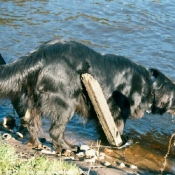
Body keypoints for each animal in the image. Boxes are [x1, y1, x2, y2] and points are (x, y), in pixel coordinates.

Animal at [0, 39, 175, 152]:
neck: (150, 84)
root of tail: (39, 54)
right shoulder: (116, 112)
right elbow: (117, 129)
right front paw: (120, 144)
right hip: (66, 101)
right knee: (55, 132)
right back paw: (68, 148)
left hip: (35, 100)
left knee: (32, 124)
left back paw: (37, 144)